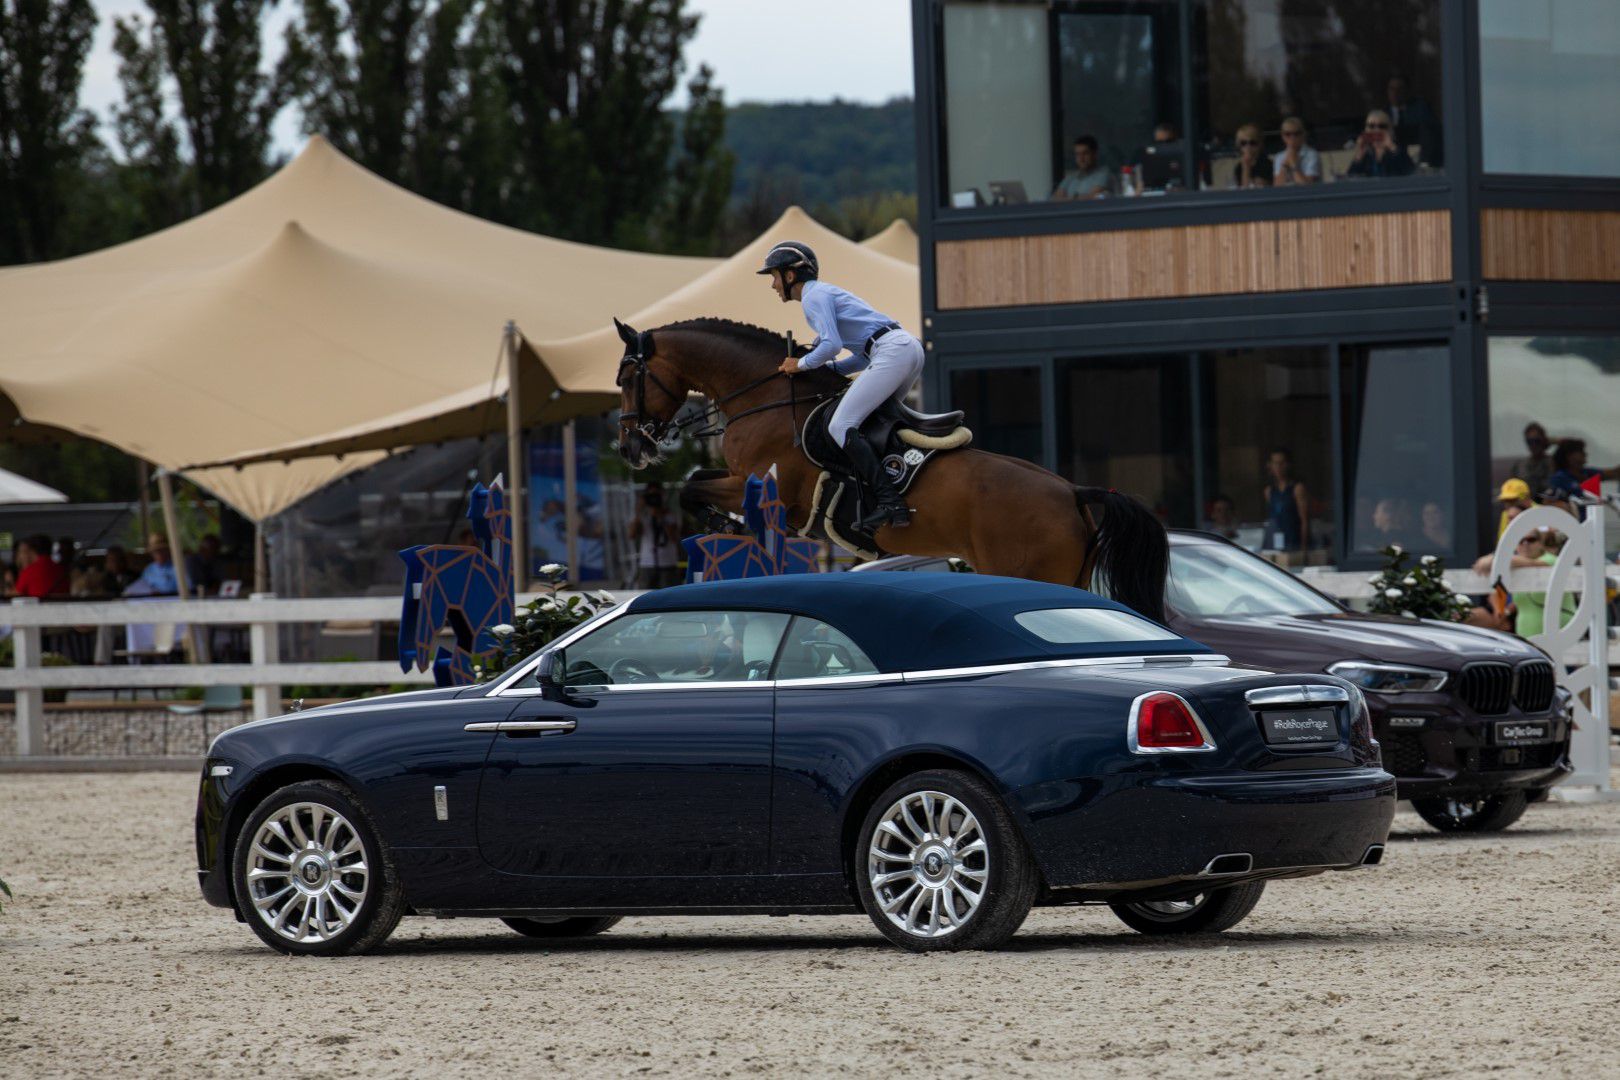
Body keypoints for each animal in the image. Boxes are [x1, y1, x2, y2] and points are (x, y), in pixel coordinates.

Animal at [612, 317, 1169, 622]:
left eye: (624, 378)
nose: (629, 448)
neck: (765, 397)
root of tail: (1073, 492)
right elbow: (695, 483)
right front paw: (723, 527)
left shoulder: (776, 496)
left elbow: (692, 487)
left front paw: (721, 523)